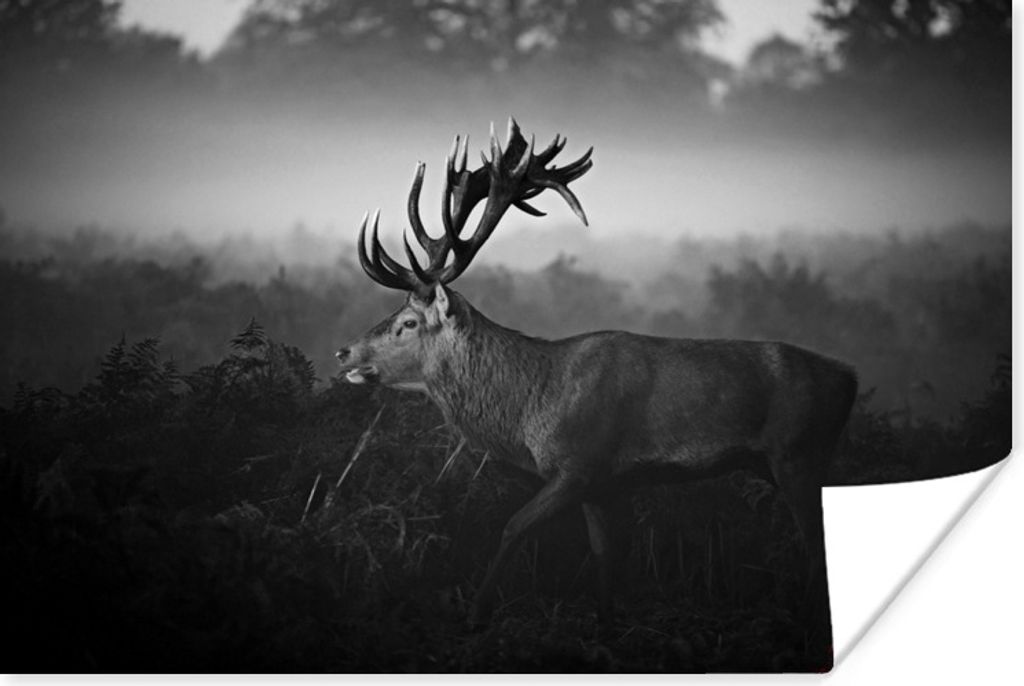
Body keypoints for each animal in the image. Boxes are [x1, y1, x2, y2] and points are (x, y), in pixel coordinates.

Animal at [335, 120, 857, 662]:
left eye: (408, 322)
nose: (344, 353)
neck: (532, 404)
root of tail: (850, 378)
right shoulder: (605, 484)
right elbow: (605, 557)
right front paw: (606, 633)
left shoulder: (578, 464)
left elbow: (513, 525)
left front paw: (476, 616)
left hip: (798, 453)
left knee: (816, 543)